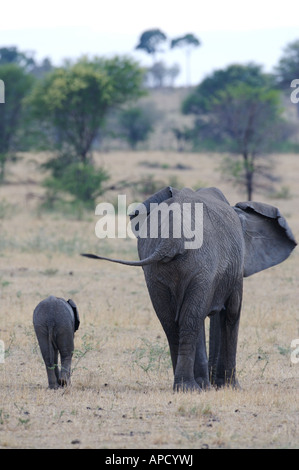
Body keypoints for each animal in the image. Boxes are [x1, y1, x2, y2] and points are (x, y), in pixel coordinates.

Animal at [82, 185, 298, 392]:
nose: (215, 380)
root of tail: (171, 237)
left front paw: (213, 385)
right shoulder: (231, 271)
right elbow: (231, 312)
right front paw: (230, 387)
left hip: (156, 269)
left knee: (172, 321)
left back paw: (186, 386)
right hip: (199, 262)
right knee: (191, 319)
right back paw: (190, 387)